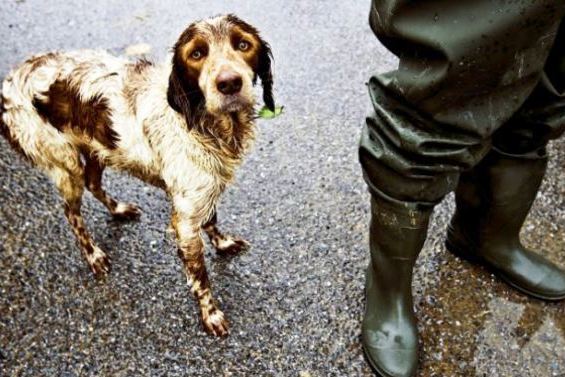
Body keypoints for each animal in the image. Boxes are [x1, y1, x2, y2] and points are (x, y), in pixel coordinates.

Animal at [0, 13, 274, 334]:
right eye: (196, 54)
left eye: (243, 45)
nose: (229, 83)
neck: (203, 124)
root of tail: (9, 82)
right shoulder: (185, 219)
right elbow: (200, 276)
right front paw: (211, 315)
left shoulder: (202, 191)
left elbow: (212, 221)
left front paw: (224, 243)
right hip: (65, 163)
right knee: (71, 212)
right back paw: (93, 255)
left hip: (99, 149)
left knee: (93, 183)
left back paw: (118, 210)